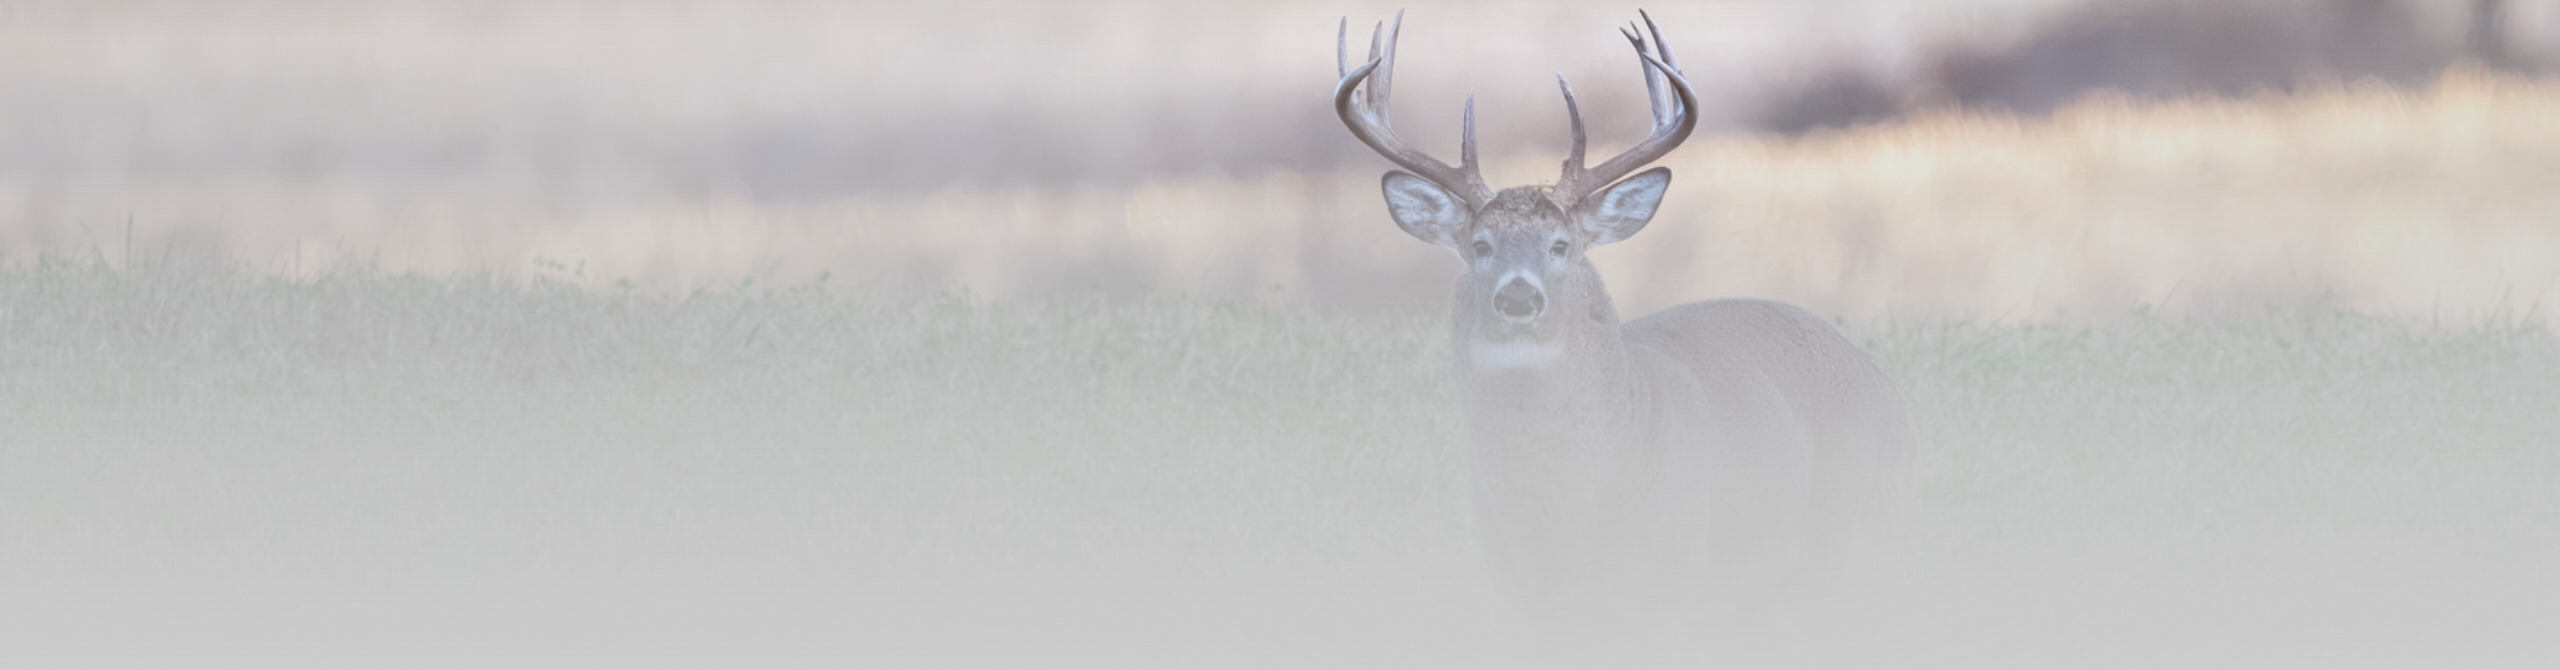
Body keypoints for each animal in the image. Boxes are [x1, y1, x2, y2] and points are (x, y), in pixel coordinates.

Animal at [1335, 11, 1914, 644]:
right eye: (1480, 246)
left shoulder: (1661, 591)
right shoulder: (1529, 605)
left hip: (1858, 540)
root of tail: (1883, 382)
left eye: (1561, 245)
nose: (1518, 297)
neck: (1562, 524)